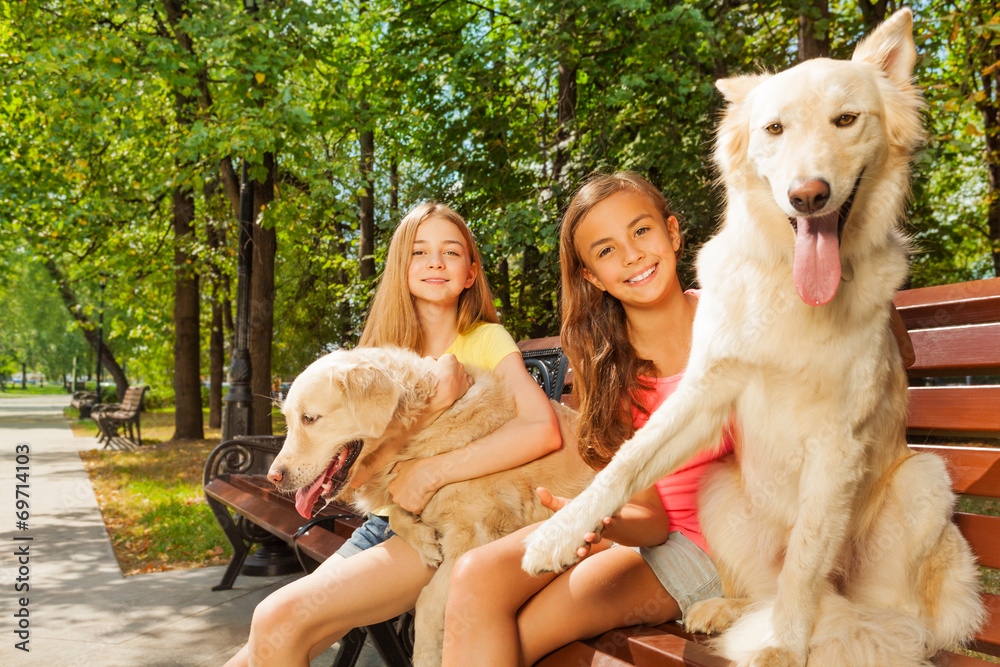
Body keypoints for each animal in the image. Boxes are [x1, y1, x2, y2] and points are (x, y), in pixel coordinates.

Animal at [266, 348, 592, 664]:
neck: (419, 431)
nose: (274, 477)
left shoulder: (476, 534)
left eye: (310, 418)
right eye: (288, 421)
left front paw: (426, 655)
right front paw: (423, 540)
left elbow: (426, 602)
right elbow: (396, 515)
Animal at [524, 9, 984, 664]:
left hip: (923, 481)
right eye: (774, 128)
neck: (794, 291)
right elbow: (626, 462)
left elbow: (805, 563)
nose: (807, 195)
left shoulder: (837, 442)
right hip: (719, 486)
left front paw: (784, 648)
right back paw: (721, 610)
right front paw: (559, 533)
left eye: (847, 119)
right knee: (764, 591)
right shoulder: (706, 393)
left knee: (887, 621)